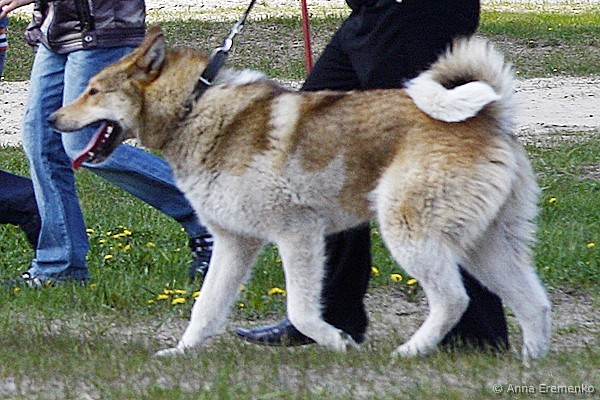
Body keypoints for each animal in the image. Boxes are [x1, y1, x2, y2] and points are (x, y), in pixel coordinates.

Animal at [50, 26, 551, 361]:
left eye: (93, 90)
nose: (53, 119)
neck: (195, 107)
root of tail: (491, 118)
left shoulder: (299, 235)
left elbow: (302, 309)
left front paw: (336, 341)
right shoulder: (234, 243)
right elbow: (205, 309)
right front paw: (181, 353)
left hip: (411, 235)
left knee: (453, 300)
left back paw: (409, 352)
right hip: (486, 247)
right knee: (534, 303)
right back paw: (531, 364)